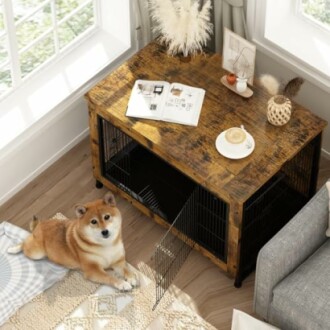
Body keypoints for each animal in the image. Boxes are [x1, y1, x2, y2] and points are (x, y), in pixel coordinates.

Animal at [7, 192, 137, 290]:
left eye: (107, 217)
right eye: (93, 221)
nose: (105, 232)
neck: (105, 245)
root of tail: (39, 225)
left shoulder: (118, 261)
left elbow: (126, 269)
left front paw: (131, 277)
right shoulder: (93, 270)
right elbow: (110, 278)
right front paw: (122, 284)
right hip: (36, 253)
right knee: (25, 243)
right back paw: (13, 248)